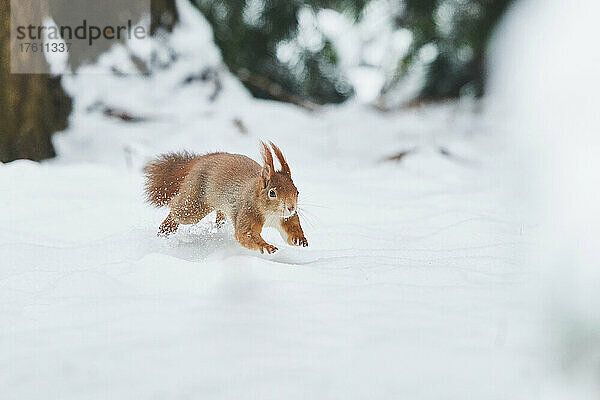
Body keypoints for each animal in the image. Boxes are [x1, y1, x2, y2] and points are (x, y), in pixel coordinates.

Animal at [143, 141, 308, 253]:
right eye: (272, 193)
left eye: (297, 192)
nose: (291, 207)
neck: (271, 213)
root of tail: (202, 159)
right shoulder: (247, 213)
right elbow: (245, 234)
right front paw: (266, 246)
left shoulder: (286, 219)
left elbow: (290, 232)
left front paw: (299, 239)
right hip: (194, 203)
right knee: (177, 209)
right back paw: (165, 229)